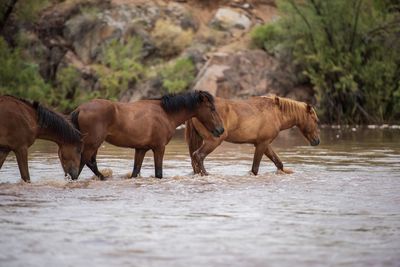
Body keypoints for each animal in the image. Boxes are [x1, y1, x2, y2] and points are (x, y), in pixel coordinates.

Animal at [71, 90, 225, 180]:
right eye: (212, 108)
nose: (221, 130)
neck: (166, 113)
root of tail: (80, 109)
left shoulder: (141, 149)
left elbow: (135, 172)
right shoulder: (159, 148)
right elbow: (158, 173)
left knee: (91, 164)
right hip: (92, 144)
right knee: (82, 165)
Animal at [186, 95, 320, 177]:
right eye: (315, 120)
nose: (317, 141)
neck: (277, 114)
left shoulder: (264, 143)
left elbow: (278, 163)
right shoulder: (262, 143)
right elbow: (255, 168)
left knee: (194, 160)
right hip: (213, 140)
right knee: (198, 155)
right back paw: (206, 174)